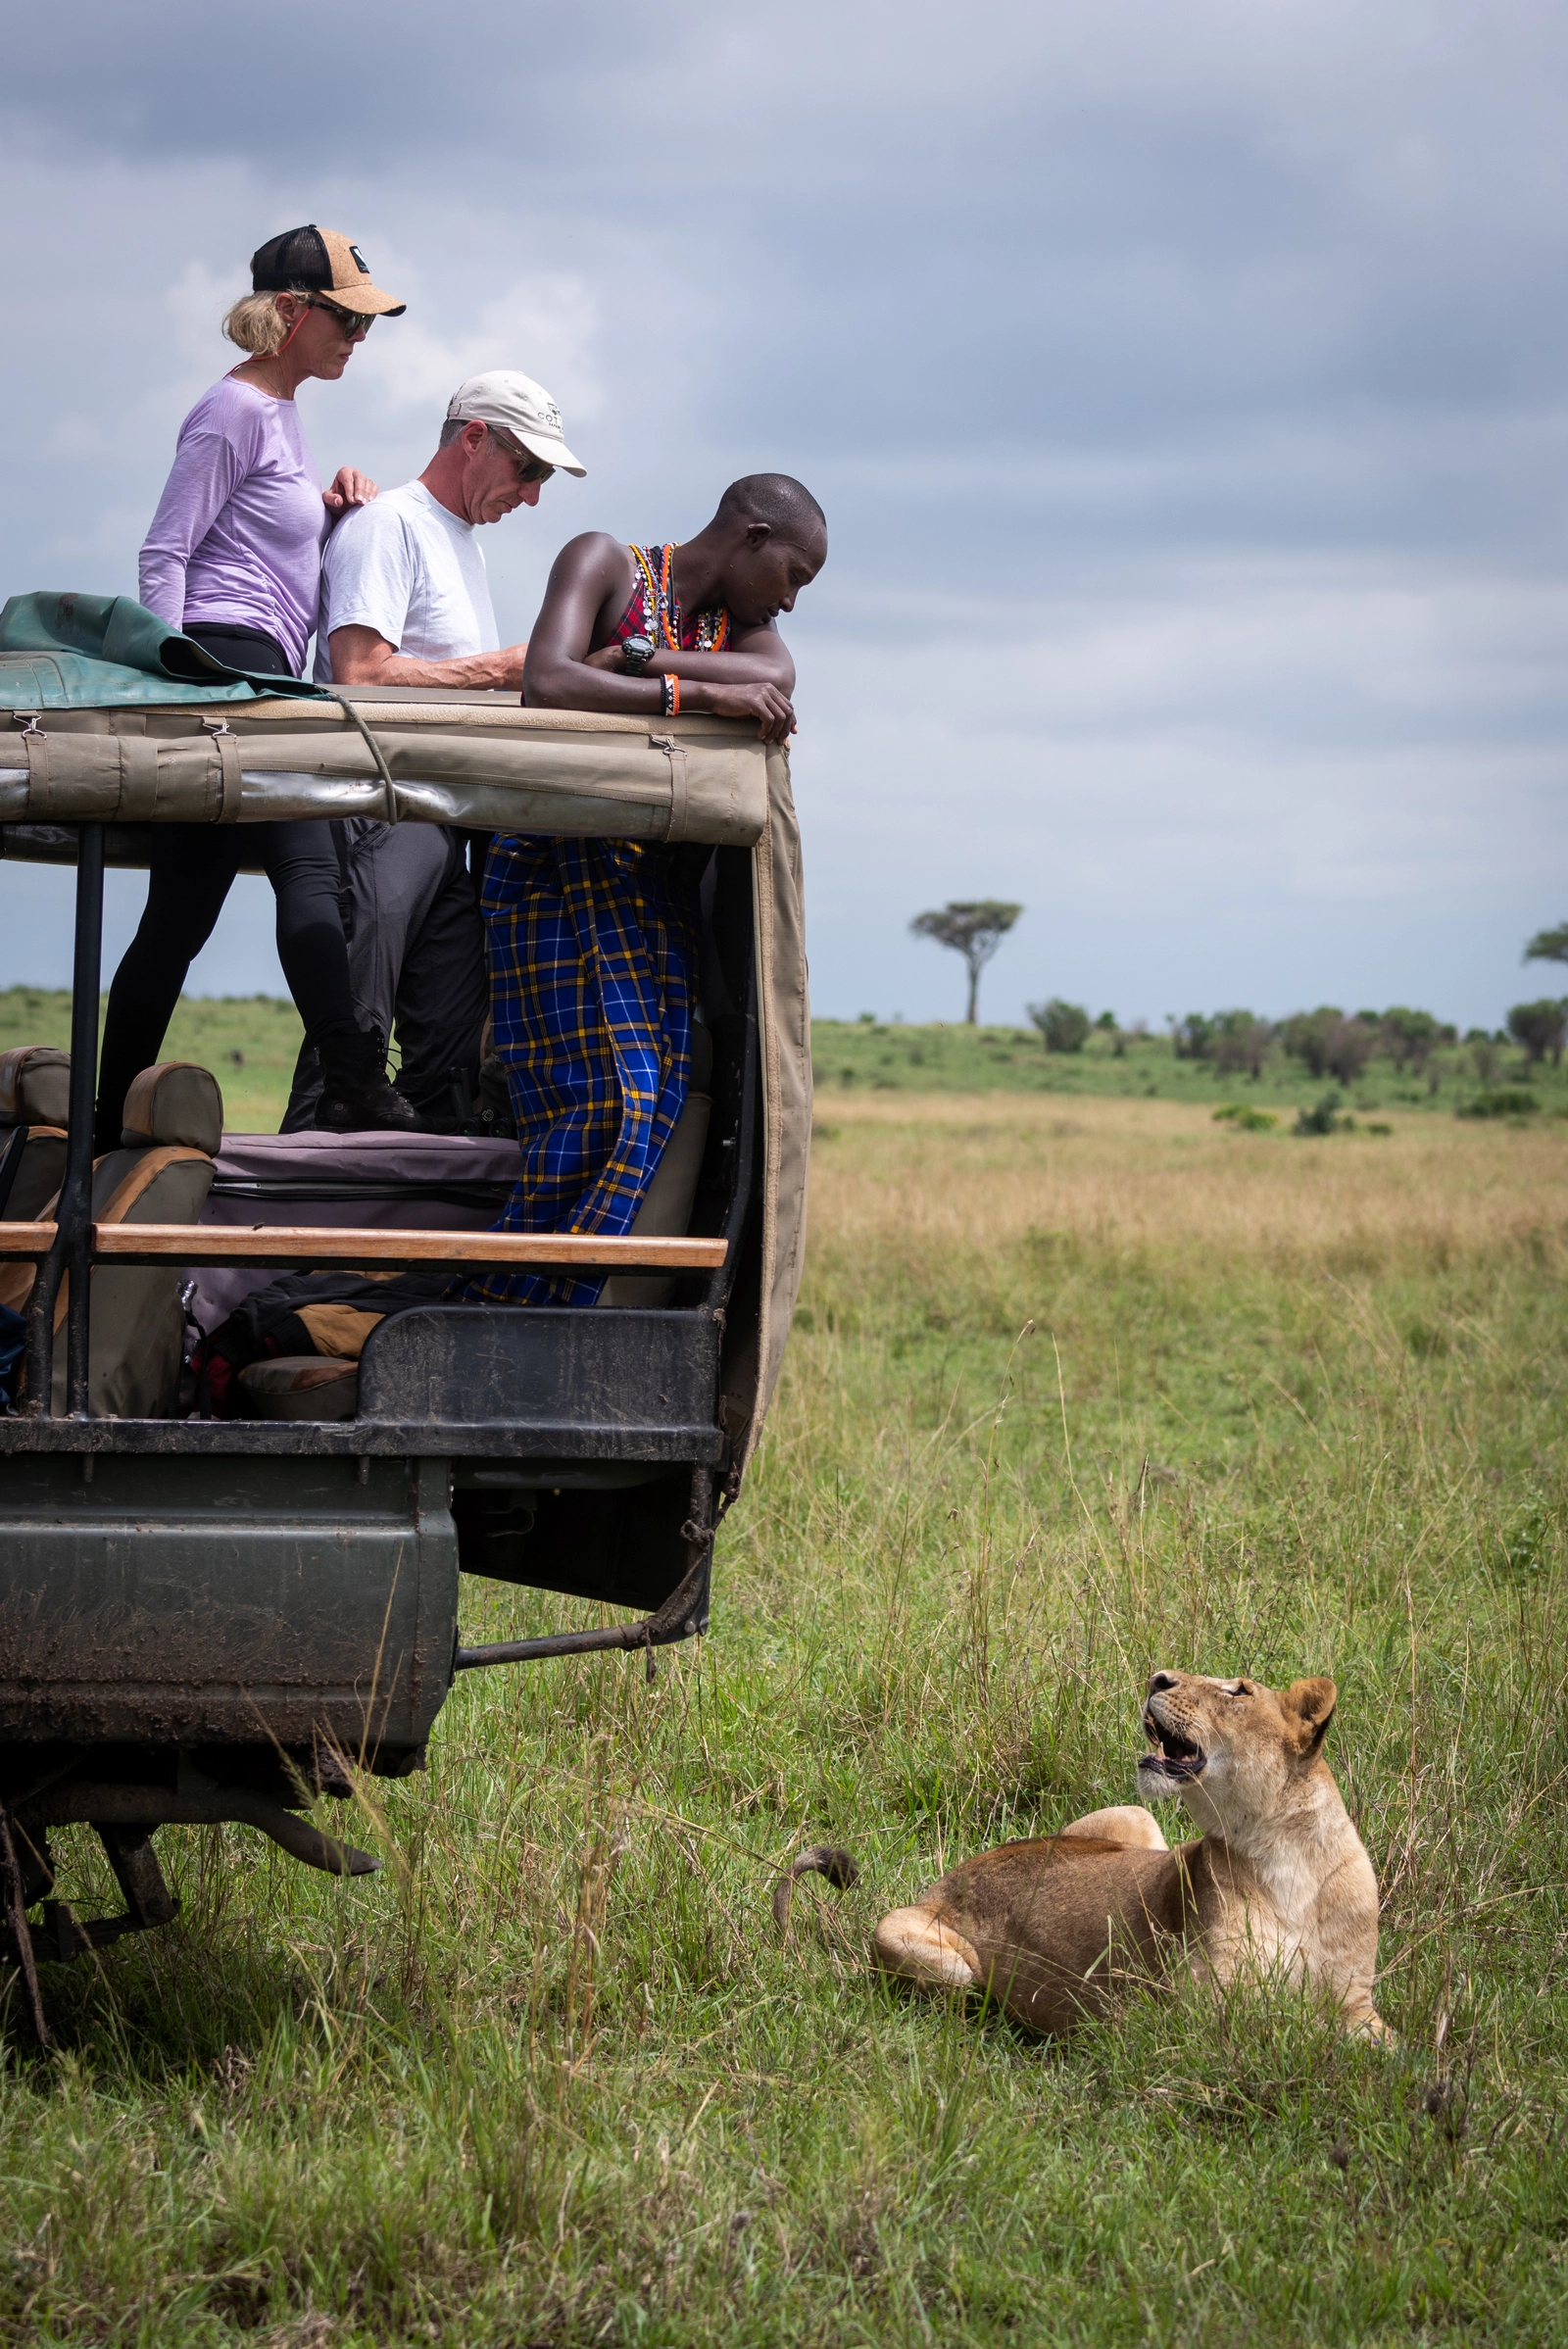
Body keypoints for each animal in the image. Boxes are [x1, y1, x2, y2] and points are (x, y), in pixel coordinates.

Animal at [778, 1670, 1389, 2040]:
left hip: (1133, 1815)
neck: (1284, 1861)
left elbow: (1383, 2048)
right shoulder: (1196, 2015)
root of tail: (944, 1881)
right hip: (940, 1958)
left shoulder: (1358, 2001)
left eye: (1237, 1690)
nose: (1158, 1676)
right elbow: (1293, 2031)